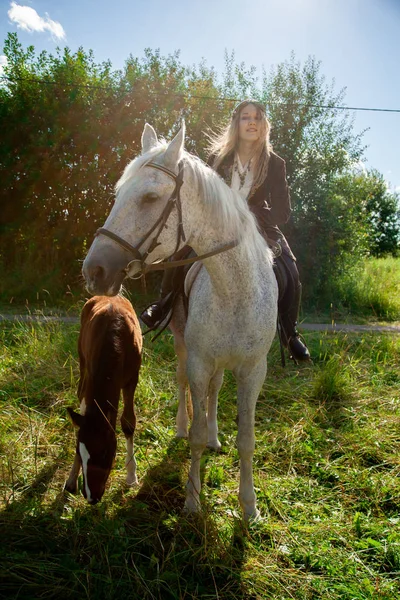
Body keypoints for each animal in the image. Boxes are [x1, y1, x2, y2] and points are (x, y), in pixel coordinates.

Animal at [64, 298, 142, 504]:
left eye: (105, 453)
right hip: (82, 361)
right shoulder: (90, 377)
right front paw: (72, 478)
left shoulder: (132, 380)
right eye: (80, 452)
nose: (91, 496)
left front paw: (131, 476)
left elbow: (128, 423)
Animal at [83, 123, 278, 520]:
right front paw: (192, 499)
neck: (234, 290)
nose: (94, 271)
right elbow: (197, 432)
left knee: (216, 391)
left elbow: (247, 439)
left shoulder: (253, 369)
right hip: (183, 346)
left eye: (150, 197)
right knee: (184, 384)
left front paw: (249, 506)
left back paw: (217, 436)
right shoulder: (200, 361)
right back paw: (181, 429)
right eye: (118, 194)